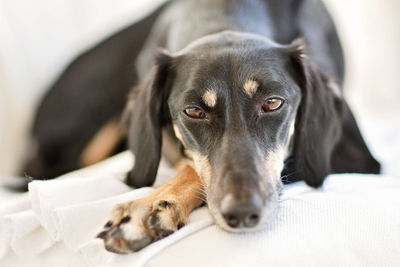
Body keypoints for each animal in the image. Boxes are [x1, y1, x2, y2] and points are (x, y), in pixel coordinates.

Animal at [23, 0, 380, 254]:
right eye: (193, 111)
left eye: (272, 103)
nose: (243, 214)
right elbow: (192, 164)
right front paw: (153, 204)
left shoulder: (355, 160)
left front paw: (151, 207)